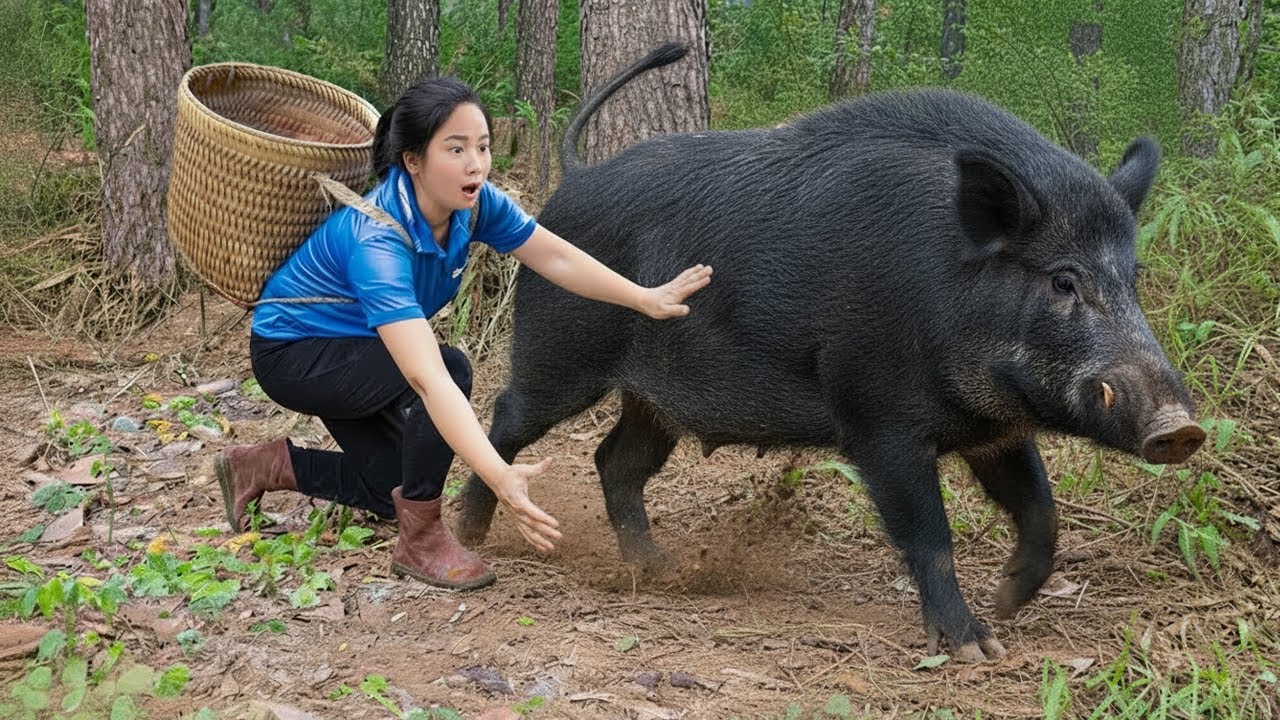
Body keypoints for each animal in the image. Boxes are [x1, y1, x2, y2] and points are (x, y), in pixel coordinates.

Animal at [457, 43, 1205, 661]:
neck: (948, 291)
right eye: (1063, 281)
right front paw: (975, 648)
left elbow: (1040, 507)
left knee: (615, 460)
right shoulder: (877, 419)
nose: (1181, 428)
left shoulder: (992, 426)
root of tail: (571, 182)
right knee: (502, 421)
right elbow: (929, 534)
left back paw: (660, 571)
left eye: (1133, 277)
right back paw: (471, 540)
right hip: (557, 356)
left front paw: (1008, 602)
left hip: (653, 398)